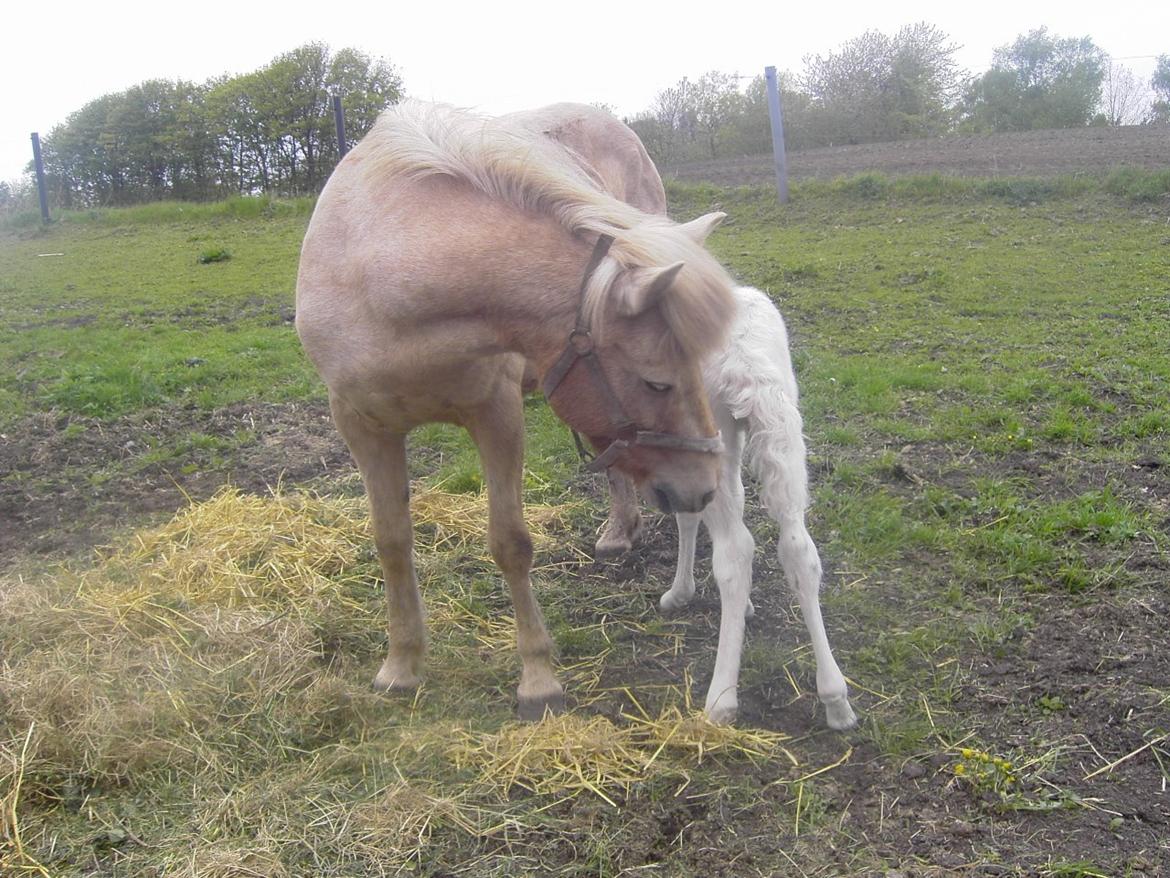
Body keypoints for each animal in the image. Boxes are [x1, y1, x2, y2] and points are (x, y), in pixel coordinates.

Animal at [299, 101, 739, 721]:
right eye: (657, 381)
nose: (703, 487)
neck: (381, 286)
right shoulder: (362, 427)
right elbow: (391, 543)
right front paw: (401, 664)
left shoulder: (497, 416)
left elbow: (510, 544)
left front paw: (537, 677)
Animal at [599, 286, 856, 730]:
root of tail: (745, 362)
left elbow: (688, 517)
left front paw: (679, 593)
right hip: (782, 423)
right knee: (799, 547)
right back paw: (836, 700)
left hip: (710, 431)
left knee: (735, 549)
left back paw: (720, 700)